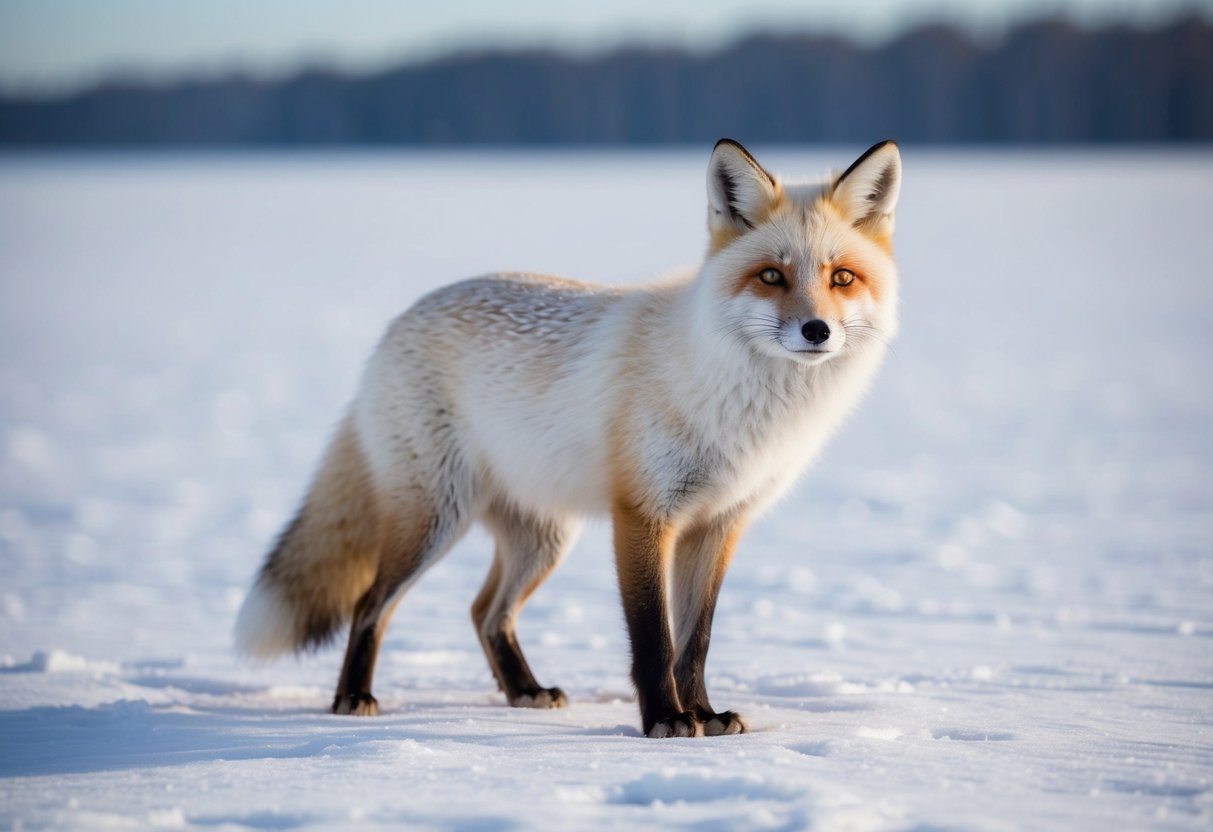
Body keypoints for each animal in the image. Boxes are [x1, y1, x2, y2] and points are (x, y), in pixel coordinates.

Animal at [235, 139, 901, 738]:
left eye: (842, 277)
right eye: (771, 276)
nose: (817, 331)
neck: (739, 404)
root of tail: (395, 325)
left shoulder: (718, 523)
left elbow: (696, 641)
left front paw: (705, 715)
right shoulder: (642, 513)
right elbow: (654, 638)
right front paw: (665, 720)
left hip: (542, 538)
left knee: (485, 612)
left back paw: (524, 691)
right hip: (435, 520)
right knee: (372, 603)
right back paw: (353, 697)